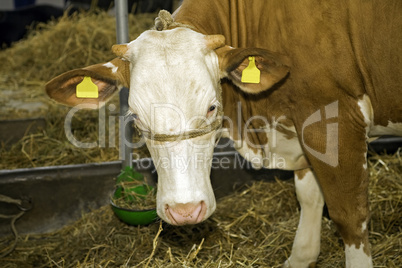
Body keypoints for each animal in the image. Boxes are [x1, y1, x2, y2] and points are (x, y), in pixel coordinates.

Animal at [46, 1, 402, 266]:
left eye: (211, 107)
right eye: (135, 117)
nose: (185, 211)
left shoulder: (333, 119)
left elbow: (349, 215)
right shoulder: (301, 126)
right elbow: (309, 196)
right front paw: (301, 257)